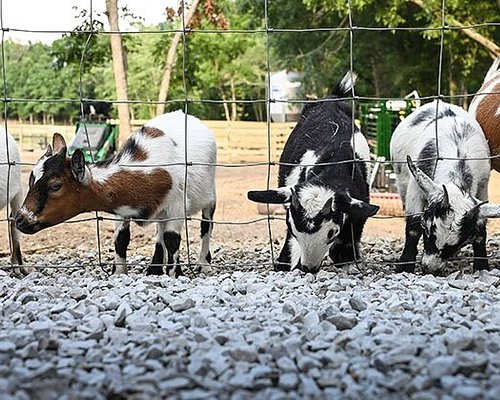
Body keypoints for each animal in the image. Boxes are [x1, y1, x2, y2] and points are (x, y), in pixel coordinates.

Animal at [15, 111, 217, 276]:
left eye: (55, 186)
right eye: (31, 180)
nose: (20, 219)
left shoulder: (176, 206)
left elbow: (172, 239)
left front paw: (176, 274)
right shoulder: (123, 209)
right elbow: (121, 239)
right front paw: (119, 273)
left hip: (210, 196)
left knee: (205, 225)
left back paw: (204, 265)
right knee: (160, 229)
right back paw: (154, 268)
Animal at [246, 72, 378, 274]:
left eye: (332, 232)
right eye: (293, 229)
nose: (308, 267)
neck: (333, 166)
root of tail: (331, 99)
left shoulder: (358, 206)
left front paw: (348, 260)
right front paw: (285, 263)